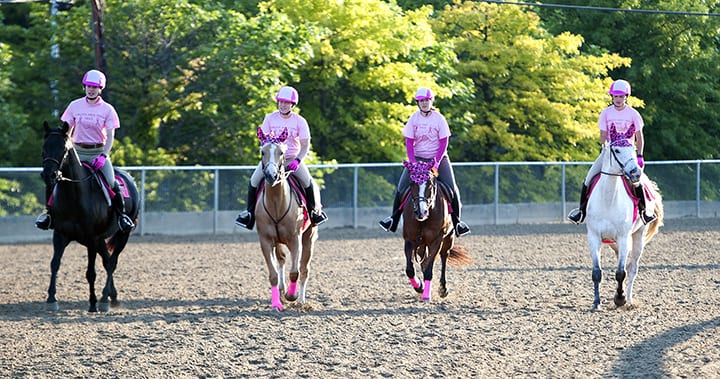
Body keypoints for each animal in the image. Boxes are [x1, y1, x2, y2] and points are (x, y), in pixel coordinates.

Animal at [40, 121, 139, 312]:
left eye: (63, 148)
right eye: (44, 147)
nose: (49, 175)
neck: (74, 195)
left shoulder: (91, 237)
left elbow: (91, 272)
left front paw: (93, 303)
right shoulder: (60, 235)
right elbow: (54, 263)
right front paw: (51, 299)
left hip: (122, 235)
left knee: (112, 262)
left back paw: (104, 299)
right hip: (100, 240)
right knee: (107, 260)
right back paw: (112, 296)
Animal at [256, 127, 318, 312]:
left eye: (281, 152)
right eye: (262, 152)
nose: (271, 175)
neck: (277, 203)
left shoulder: (295, 240)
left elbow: (295, 272)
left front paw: (292, 296)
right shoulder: (265, 241)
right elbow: (273, 275)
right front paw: (276, 303)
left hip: (309, 237)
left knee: (304, 269)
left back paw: (301, 300)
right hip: (278, 241)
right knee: (282, 261)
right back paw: (282, 291)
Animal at [400, 159, 472, 302]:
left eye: (430, 184)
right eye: (411, 183)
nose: (421, 212)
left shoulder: (436, 241)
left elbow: (429, 270)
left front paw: (426, 295)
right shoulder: (409, 240)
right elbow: (410, 269)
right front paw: (419, 286)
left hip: (448, 239)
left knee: (443, 257)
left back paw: (443, 289)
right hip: (421, 244)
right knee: (424, 260)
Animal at [584, 142, 664, 312]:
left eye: (634, 149)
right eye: (617, 150)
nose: (635, 172)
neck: (608, 199)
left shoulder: (623, 237)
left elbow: (621, 272)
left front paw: (620, 299)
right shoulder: (594, 237)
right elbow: (596, 272)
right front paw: (596, 303)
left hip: (638, 237)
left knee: (632, 268)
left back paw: (629, 299)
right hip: (614, 243)